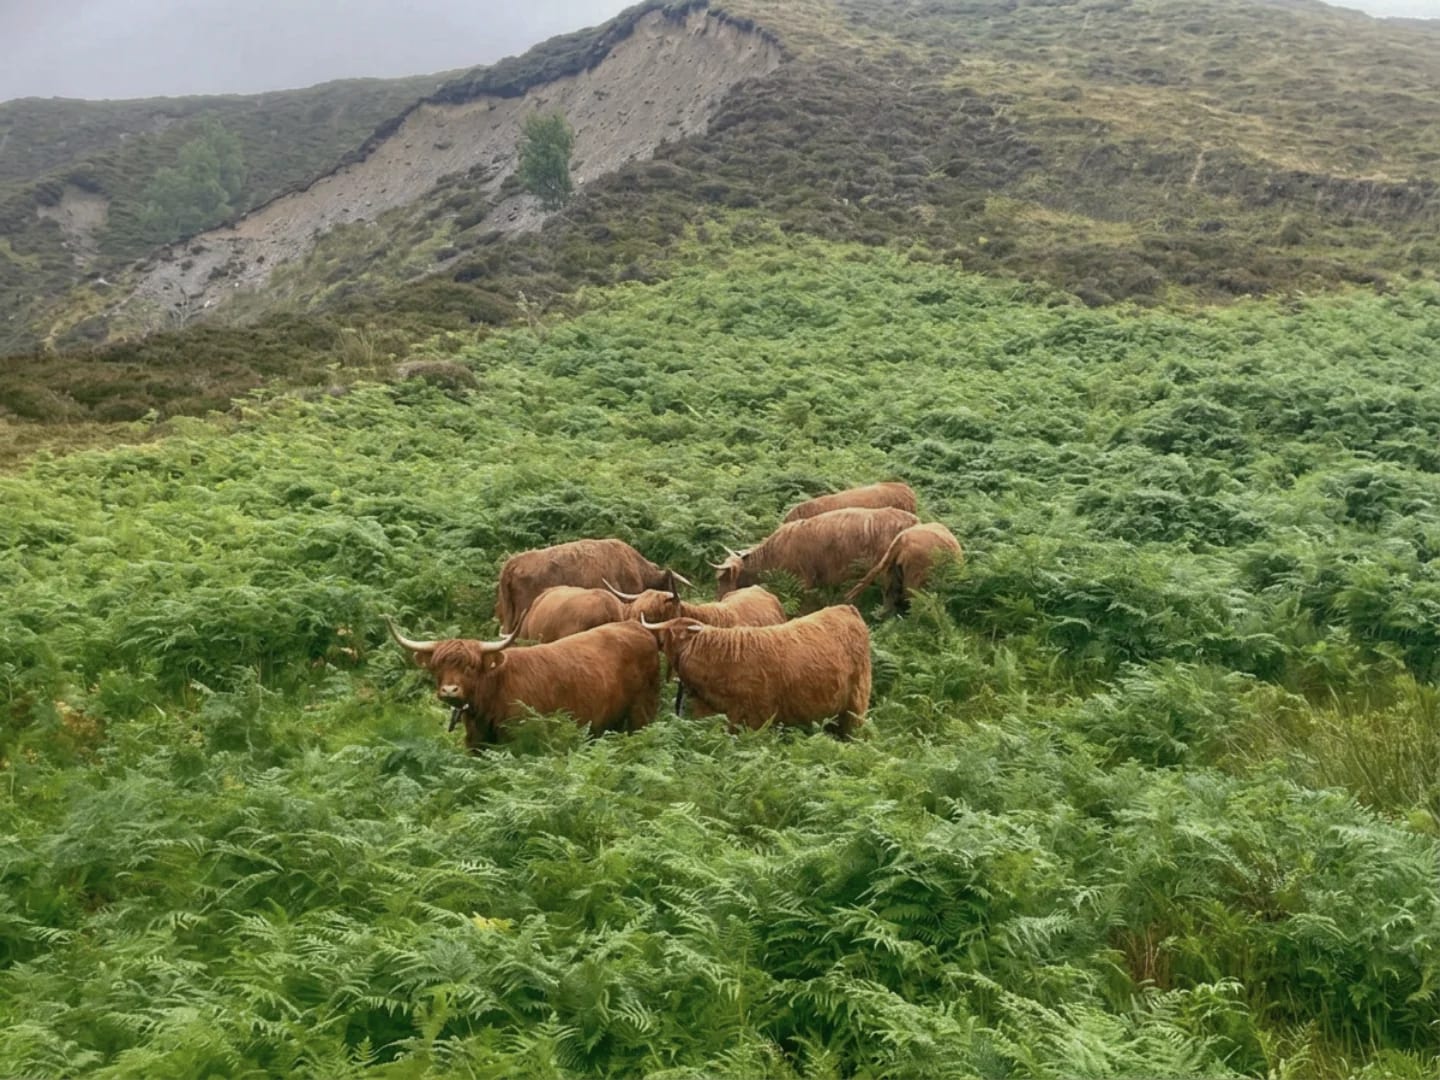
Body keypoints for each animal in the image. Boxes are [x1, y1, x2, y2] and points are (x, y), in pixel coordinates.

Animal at [384, 615, 660, 750]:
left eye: (470, 667)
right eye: (437, 667)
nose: (450, 690)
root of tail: (636, 627)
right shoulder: (475, 744)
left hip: (641, 713)